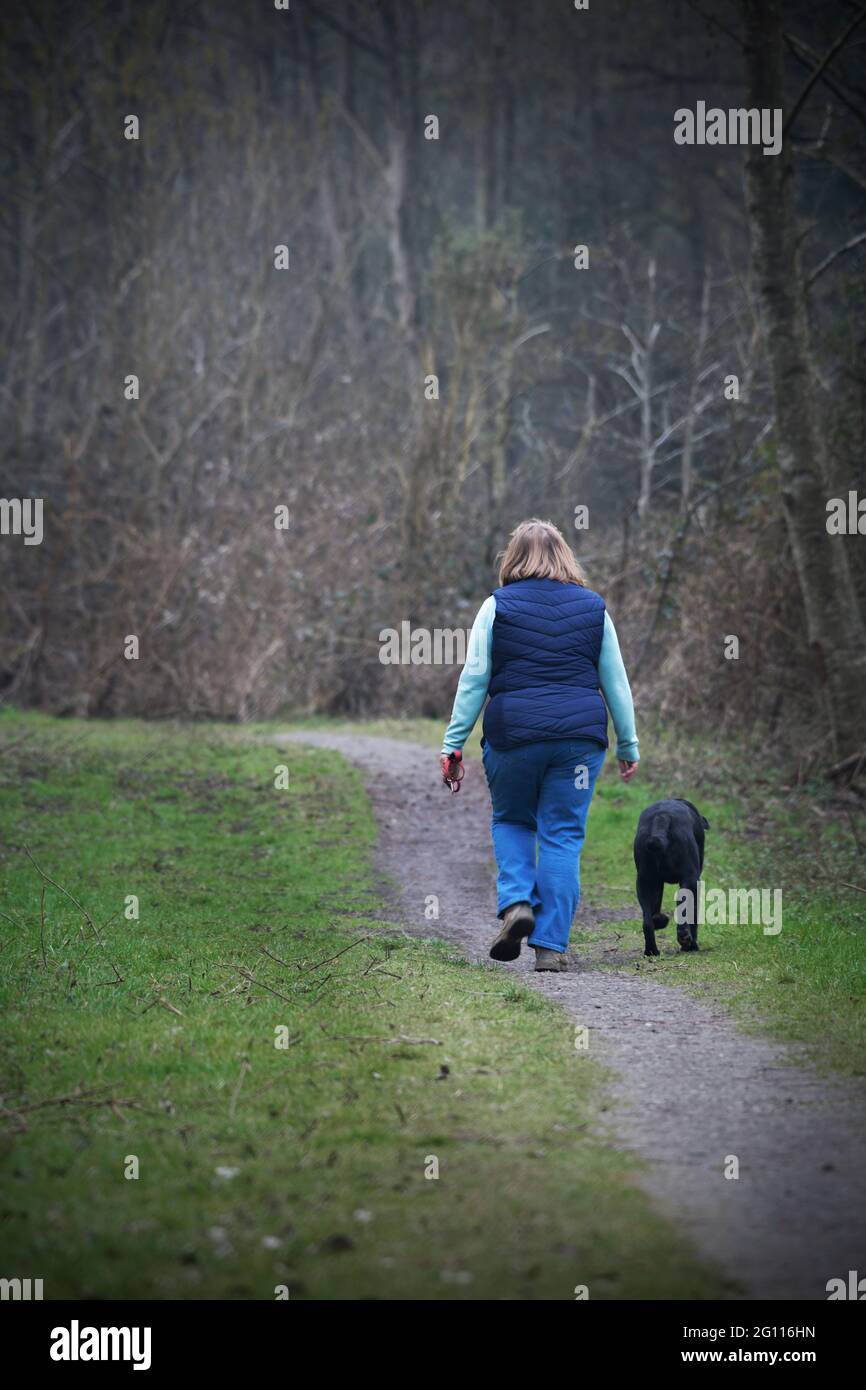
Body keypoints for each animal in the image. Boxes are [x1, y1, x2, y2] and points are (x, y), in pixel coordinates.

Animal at [631, 806, 711, 956]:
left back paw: (651, 949)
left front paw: (659, 920)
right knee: (684, 910)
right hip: (689, 880)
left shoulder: (656, 884)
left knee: (647, 922)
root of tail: (662, 816)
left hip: (644, 883)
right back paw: (687, 942)